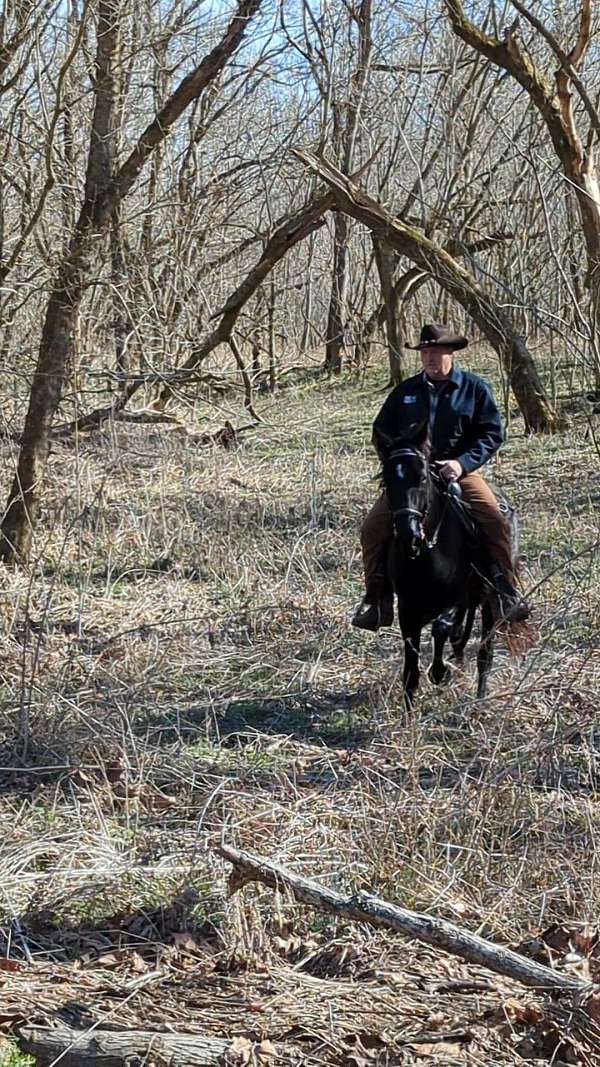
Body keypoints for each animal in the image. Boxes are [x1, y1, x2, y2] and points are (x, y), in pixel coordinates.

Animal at [380, 437, 497, 704]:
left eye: (422, 477)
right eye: (385, 479)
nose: (409, 536)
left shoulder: (457, 599)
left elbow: (441, 628)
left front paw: (440, 672)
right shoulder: (407, 609)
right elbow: (410, 669)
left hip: (487, 600)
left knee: (484, 654)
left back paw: (479, 700)